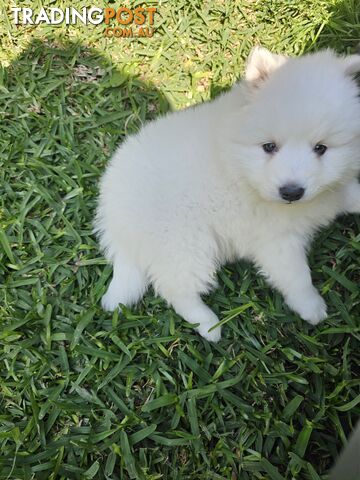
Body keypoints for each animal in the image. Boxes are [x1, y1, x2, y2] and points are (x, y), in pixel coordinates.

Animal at [95, 47, 360, 342]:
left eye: (321, 148)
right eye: (269, 146)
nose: (291, 192)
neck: (237, 163)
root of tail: (112, 218)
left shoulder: (331, 193)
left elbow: (349, 193)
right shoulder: (276, 241)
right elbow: (296, 276)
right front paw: (311, 307)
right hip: (186, 245)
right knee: (175, 289)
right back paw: (208, 325)